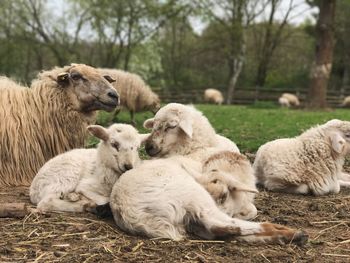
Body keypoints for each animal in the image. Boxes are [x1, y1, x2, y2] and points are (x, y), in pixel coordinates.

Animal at [108, 103, 308, 245]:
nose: (149, 147)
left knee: (217, 229)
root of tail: (132, 214)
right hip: (193, 195)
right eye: (154, 126)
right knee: (220, 225)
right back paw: (291, 233)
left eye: (171, 126)